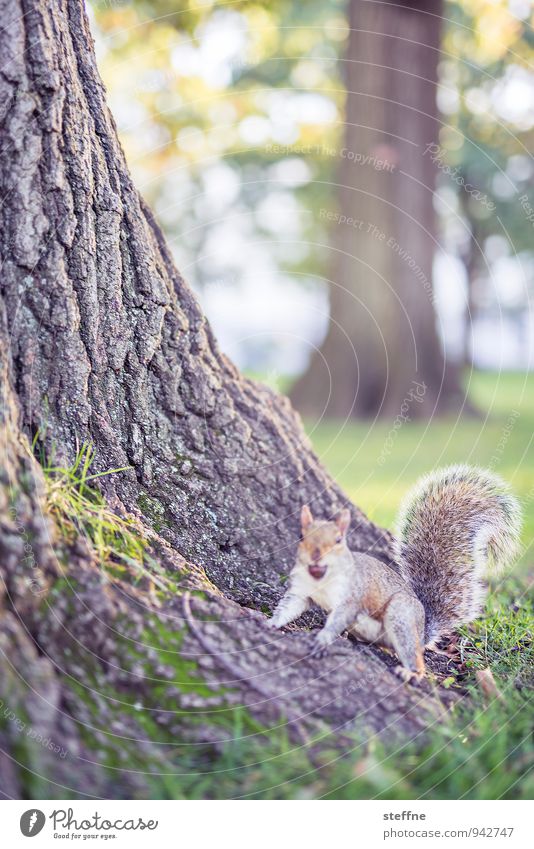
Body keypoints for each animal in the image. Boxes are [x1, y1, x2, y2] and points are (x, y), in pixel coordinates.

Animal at [268, 464, 524, 684]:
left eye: (339, 540)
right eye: (301, 536)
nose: (316, 556)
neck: (321, 578)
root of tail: (422, 632)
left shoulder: (352, 596)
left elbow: (339, 617)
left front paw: (323, 639)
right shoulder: (301, 592)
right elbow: (289, 607)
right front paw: (271, 623)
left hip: (400, 615)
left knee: (415, 658)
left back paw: (410, 672)